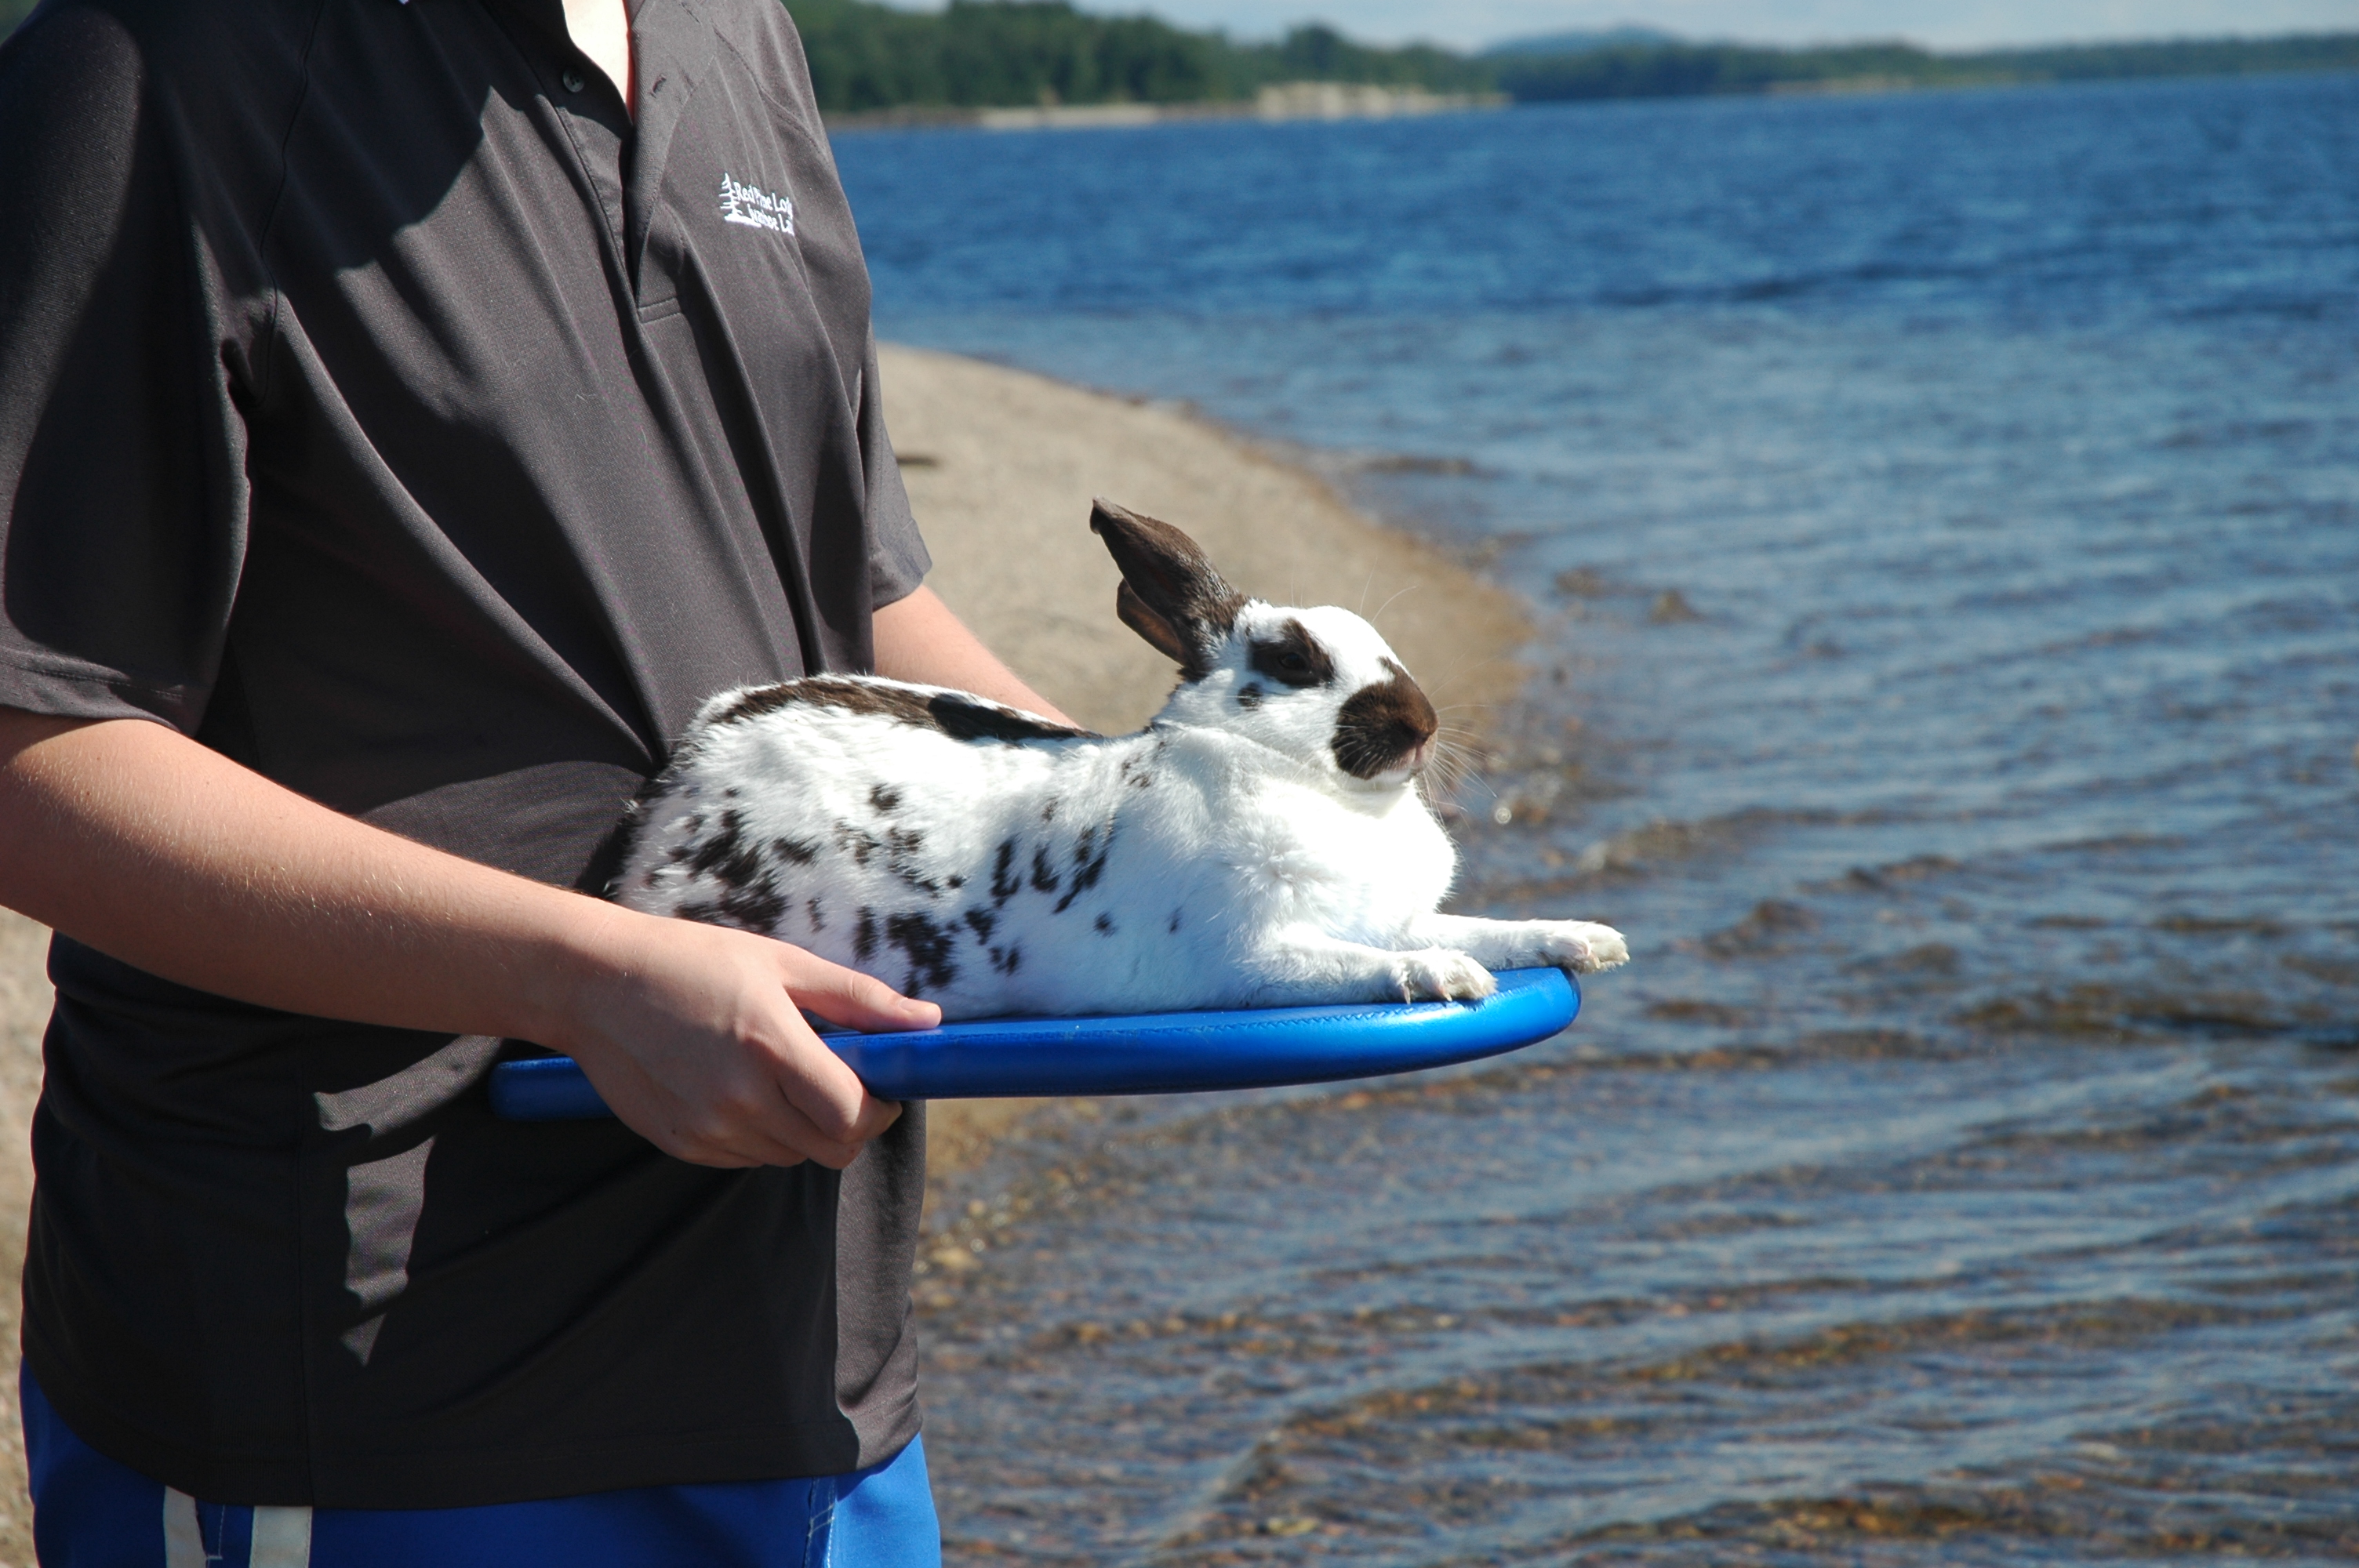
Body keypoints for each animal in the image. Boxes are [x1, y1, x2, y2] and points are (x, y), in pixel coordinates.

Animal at [614, 500, 1628, 1020]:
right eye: (1293, 661)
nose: (1419, 724)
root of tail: (672, 794)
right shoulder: (1251, 953)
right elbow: (1361, 964)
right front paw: (1445, 978)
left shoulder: (1392, 914)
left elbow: (1488, 928)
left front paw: (1585, 938)